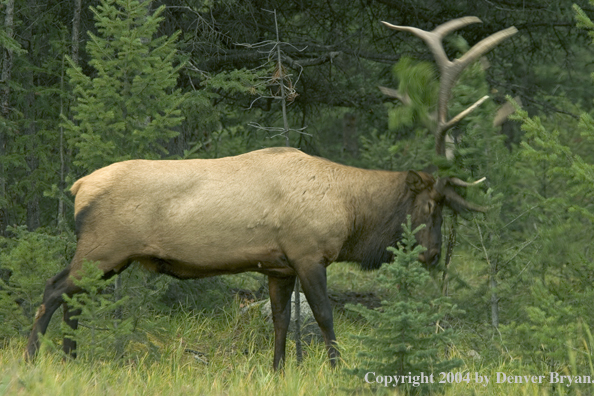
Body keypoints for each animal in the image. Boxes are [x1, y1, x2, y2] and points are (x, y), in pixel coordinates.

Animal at [25, 16, 512, 368]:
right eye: (430, 205)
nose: (432, 253)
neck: (350, 212)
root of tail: (78, 187)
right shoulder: (308, 252)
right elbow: (324, 317)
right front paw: (336, 368)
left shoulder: (278, 266)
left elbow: (280, 322)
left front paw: (278, 370)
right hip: (103, 247)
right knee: (53, 290)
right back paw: (34, 359)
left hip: (108, 257)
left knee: (71, 298)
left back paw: (71, 360)